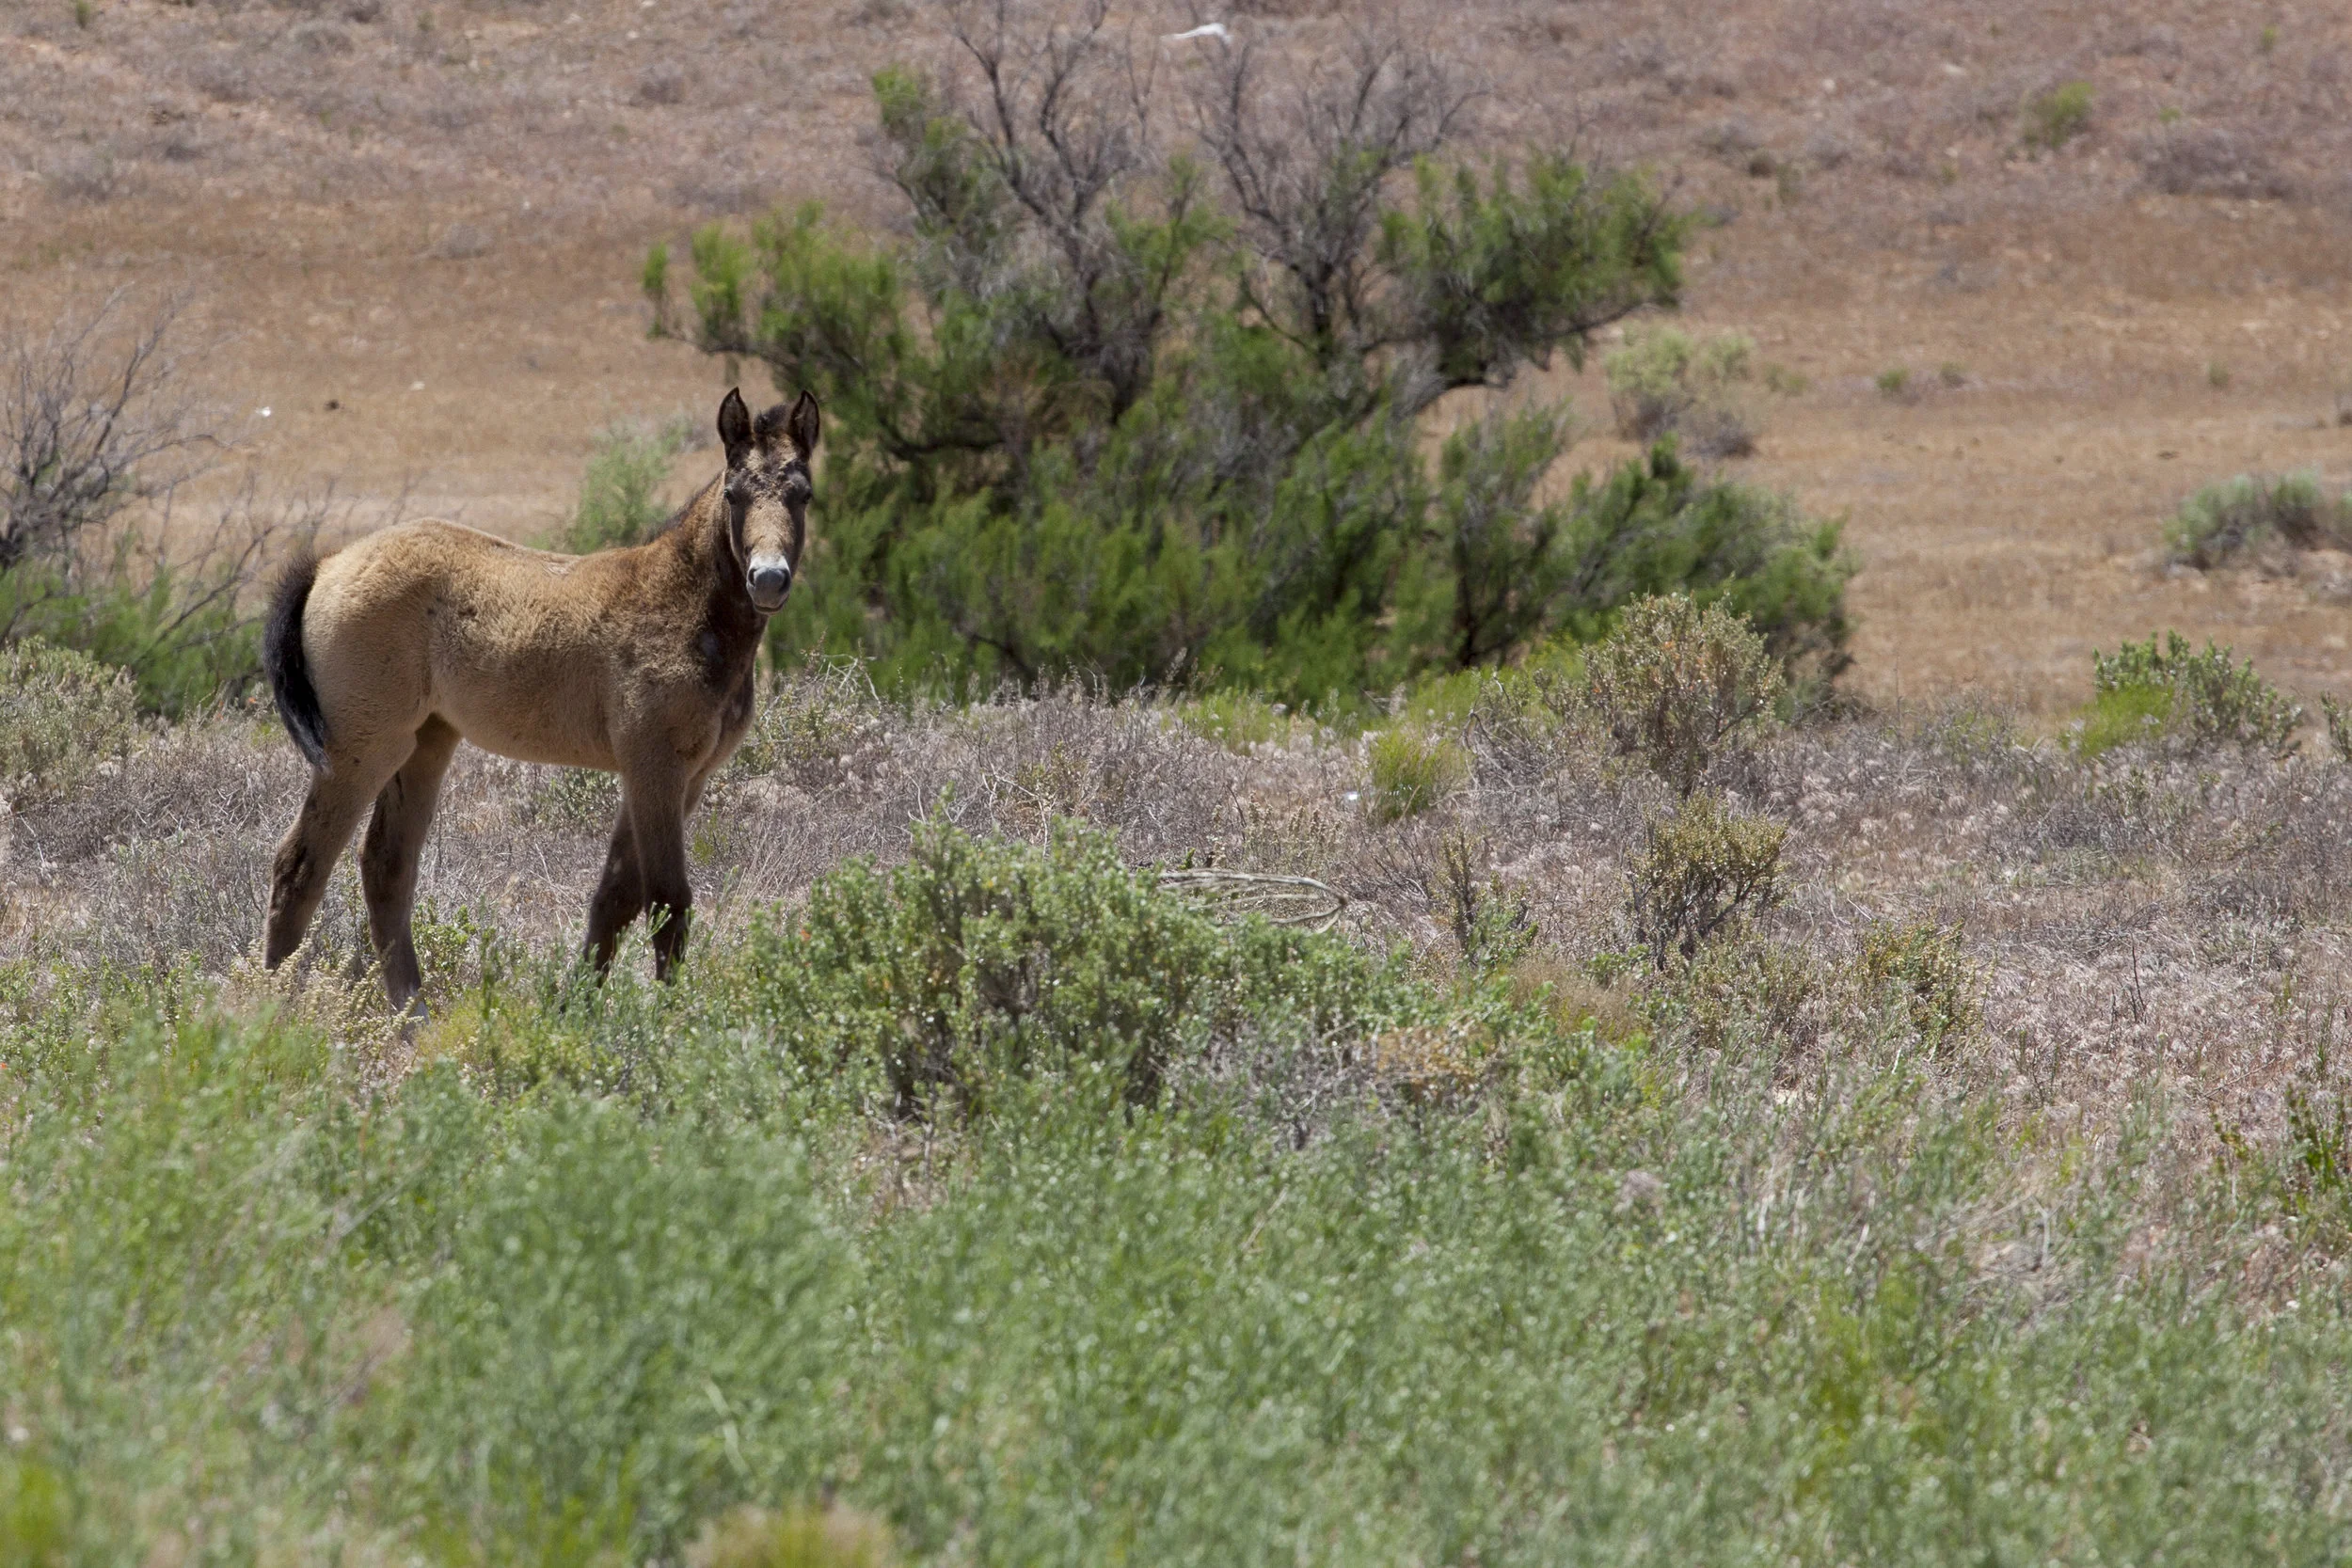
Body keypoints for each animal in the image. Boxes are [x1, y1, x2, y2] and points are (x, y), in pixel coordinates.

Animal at [259, 387, 817, 1010]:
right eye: (732, 493)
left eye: (804, 494)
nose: (768, 579)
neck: (682, 603)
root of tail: (329, 564)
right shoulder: (656, 769)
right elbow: (669, 902)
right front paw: (670, 1023)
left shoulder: (684, 779)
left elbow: (615, 899)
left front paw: (577, 1010)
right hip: (360, 750)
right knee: (299, 867)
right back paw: (274, 1008)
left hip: (425, 745)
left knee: (386, 867)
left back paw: (412, 1016)